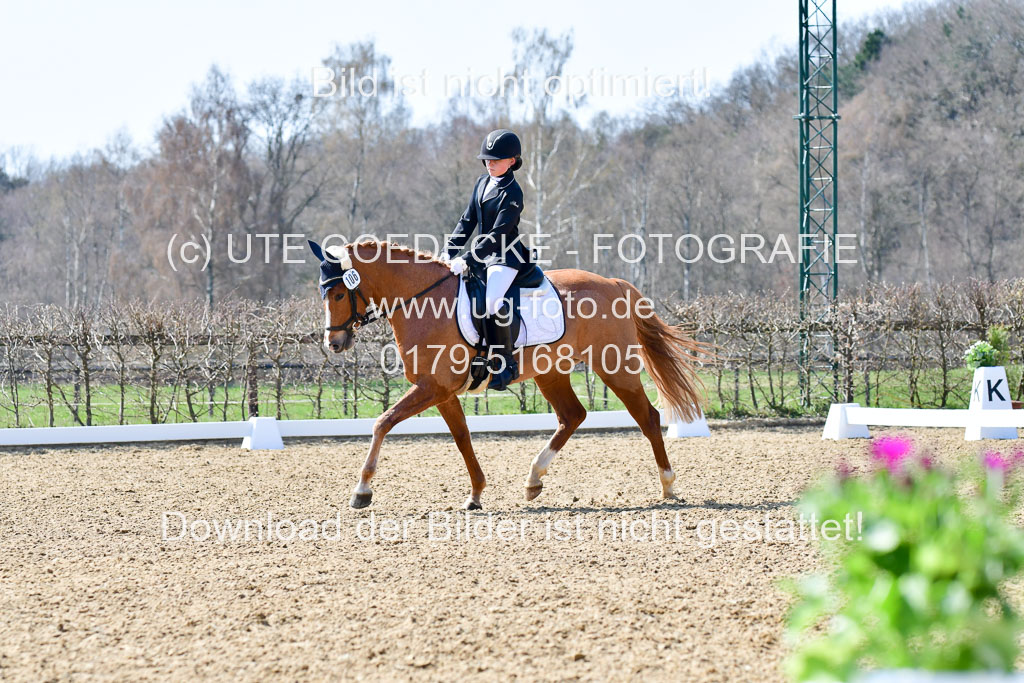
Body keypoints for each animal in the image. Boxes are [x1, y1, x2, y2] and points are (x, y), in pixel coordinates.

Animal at [315, 237, 704, 509]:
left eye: (338, 294)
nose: (334, 343)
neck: (423, 301)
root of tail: (612, 283)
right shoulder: (442, 391)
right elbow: (462, 438)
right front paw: (475, 494)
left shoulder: (432, 387)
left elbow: (383, 422)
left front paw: (362, 491)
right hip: (551, 372)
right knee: (572, 416)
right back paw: (533, 480)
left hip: (615, 366)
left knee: (648, 417)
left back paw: (668, 484)